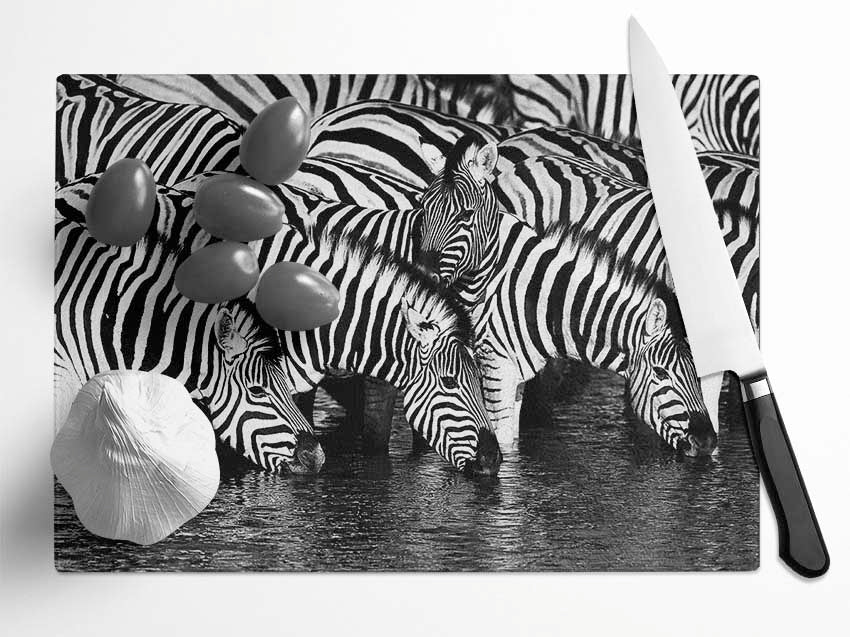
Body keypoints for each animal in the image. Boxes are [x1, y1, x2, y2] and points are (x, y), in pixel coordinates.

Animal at [477, 219, 715, 455]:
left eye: (698, 372)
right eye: (660, 372)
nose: (707, 442)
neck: (541, 301)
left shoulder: (517, 377)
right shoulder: (496, 369)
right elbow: (504, 440)